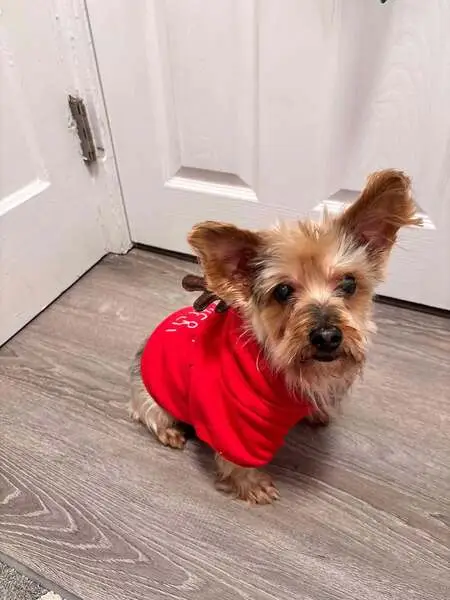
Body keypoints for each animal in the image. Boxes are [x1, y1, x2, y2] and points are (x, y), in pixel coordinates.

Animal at [130, 169, 420, 504]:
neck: (282, 367)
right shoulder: (233, 421)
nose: (327, 336)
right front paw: (252, 485)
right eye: (282, 291)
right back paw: (170, 433)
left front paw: (315, 412)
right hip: (152, 398)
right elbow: (236, 458)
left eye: (349, 283)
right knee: (149, 414)